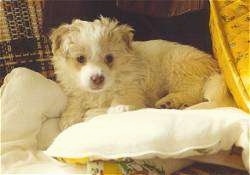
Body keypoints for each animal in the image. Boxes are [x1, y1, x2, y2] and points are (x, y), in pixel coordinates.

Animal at [50, 17, 234, 130]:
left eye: (109, 58)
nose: (97, 79)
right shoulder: (78, 91)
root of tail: (212, 67)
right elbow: (76, 102)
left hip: (178, 66)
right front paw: (68, 119)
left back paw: (170, 101)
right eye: (80, 59)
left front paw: (93, 113)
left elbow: (114, 109)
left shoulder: (130, 94)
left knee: (195, 92)